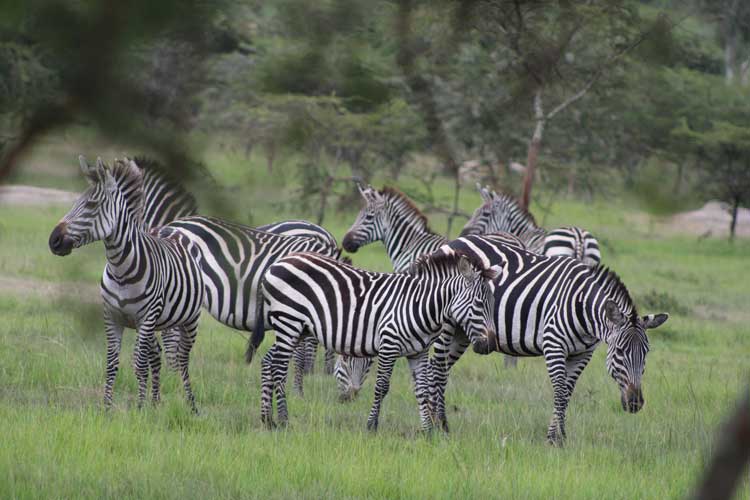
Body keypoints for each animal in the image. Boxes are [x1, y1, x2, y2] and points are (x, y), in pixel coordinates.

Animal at [49, 156, 206, 410]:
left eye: (91, 205)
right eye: (76, 202)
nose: (53, 241)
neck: (121, 269)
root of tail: (172, 229)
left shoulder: (147, 318)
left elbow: (139, 364)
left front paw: (140, 408)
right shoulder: (112, 316)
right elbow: (112, 363)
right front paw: (107, 408)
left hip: (190, 320)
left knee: (182, 360)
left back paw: (191, 406)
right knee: (157, 355)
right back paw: (156, 402)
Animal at [250, 252, 502, 432]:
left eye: (492, 303)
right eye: (479, 304)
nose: (489, 345)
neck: (420, 304)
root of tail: (276, 263)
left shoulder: (418, 352)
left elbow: (421, 389)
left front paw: (428, 431)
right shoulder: (389, 345)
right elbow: (381, 387)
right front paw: (372, 426)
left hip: (295, 328)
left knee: (268, 361)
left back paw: (267, 419)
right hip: (288, 321)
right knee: (279, 367)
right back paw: (283, 420)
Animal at [428, 234, 668, 446]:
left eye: (645, 353)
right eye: (619, 351)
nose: (635, 404)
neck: (582, 307)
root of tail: (457, 240)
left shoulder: (583, 353)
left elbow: (567, 393)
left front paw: (558, 436)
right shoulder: (554, 345)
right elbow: (560, 392)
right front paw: (555, 439)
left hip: (464, 331)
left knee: (443, 370)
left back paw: (440, 422)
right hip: (447, 324)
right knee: (436, 367)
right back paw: (436, 426)